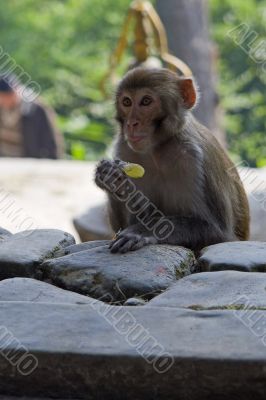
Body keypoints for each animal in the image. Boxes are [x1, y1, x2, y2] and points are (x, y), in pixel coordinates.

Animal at [94, 65, 250, 253]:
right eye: (127, 102)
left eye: (146, 101)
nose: (131, 123)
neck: (158, 149)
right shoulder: (124, 150)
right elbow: (121, 226)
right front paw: (112, 179)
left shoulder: (194, 159)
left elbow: (218, 231)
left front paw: (141, 232)